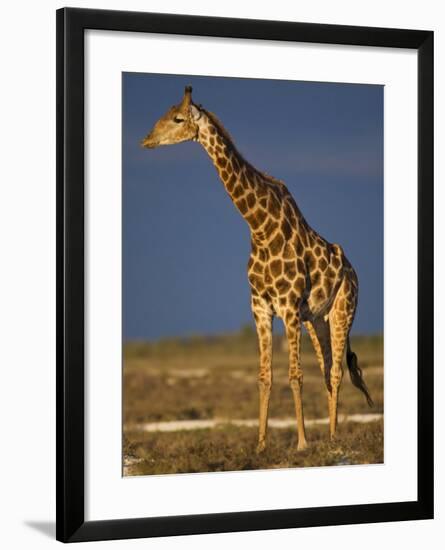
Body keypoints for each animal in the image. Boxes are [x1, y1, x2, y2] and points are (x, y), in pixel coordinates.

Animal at [141, 88, 372, 454]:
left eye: (177, 118)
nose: (146, 140)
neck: (260, 227)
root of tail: (352, 271)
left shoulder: (289, 308)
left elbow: (295, 375)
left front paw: (302, 443)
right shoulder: (260, 307)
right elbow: (265, 376)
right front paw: (261, 444)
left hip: (343, 310)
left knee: (335, 371)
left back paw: (334, 438)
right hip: (316, 319)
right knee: (327, 368)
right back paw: (331, 435)